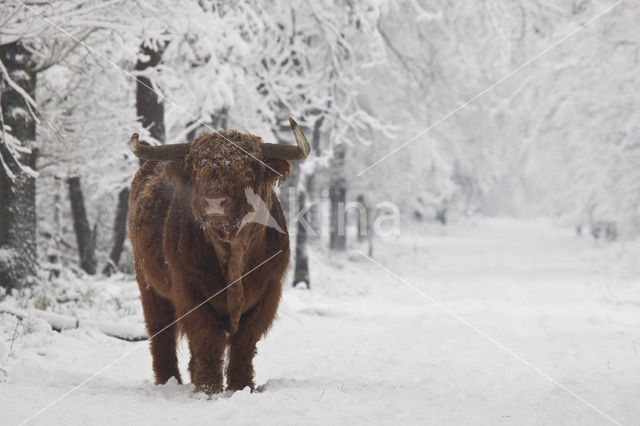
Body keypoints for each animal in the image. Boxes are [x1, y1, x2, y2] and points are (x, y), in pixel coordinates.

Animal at [128, 118, 310, 394]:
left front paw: (240, 386)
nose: (214, 203)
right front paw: (209, 390)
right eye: (197, 171)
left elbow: (244, 343)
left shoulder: (268, 292)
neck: (233, 250)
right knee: (160, 333)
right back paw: (168, 382)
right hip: (149, 285)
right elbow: (207, 340)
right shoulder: (190, 292)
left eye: (247, 172)